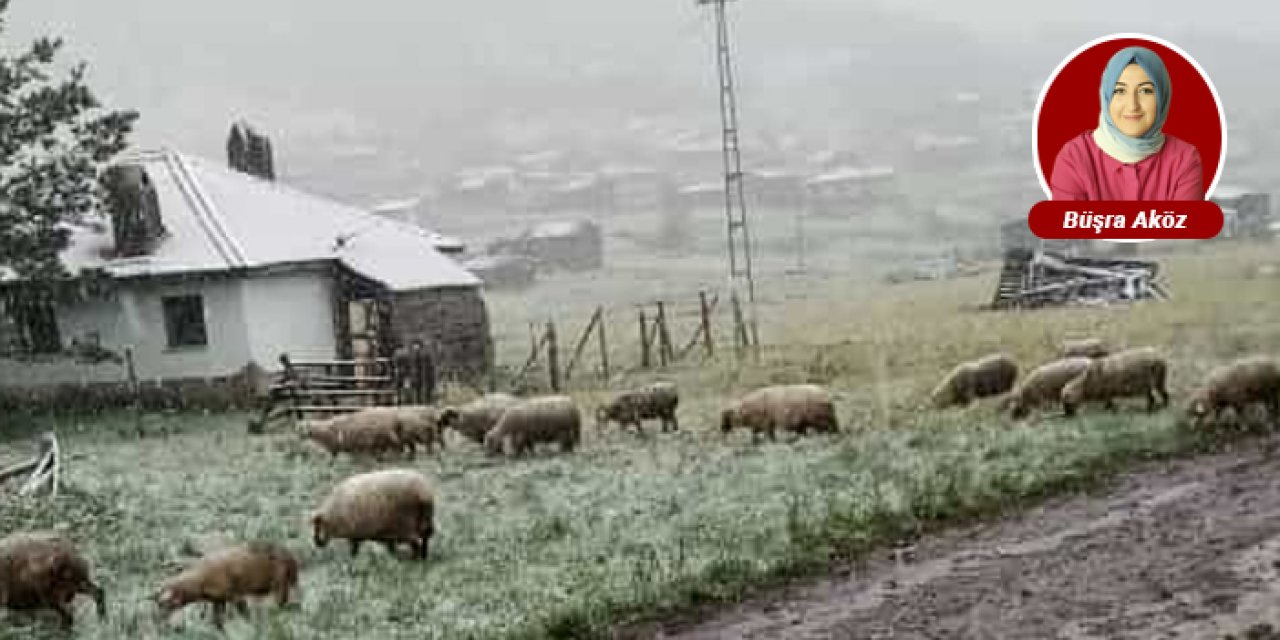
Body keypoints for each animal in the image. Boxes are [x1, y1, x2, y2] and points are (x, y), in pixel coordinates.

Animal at [154, 540, 296, 629]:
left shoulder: (236, 596)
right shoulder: (219, 600)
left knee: (281, 603)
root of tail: (289, 554)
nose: (158, 621)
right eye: (159, 605)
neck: (201, 579)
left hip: (280, 584)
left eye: (164, 604)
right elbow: (218, 620)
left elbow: (245, 615)